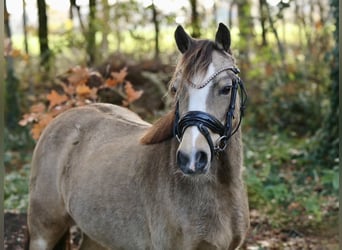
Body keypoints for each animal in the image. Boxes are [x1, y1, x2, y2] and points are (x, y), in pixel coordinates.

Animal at [26, 22, 250, 249]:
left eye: (226, 88)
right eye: (175, 89)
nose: (191, 158)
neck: (221, 189)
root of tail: (60, 119)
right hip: (42, 233)